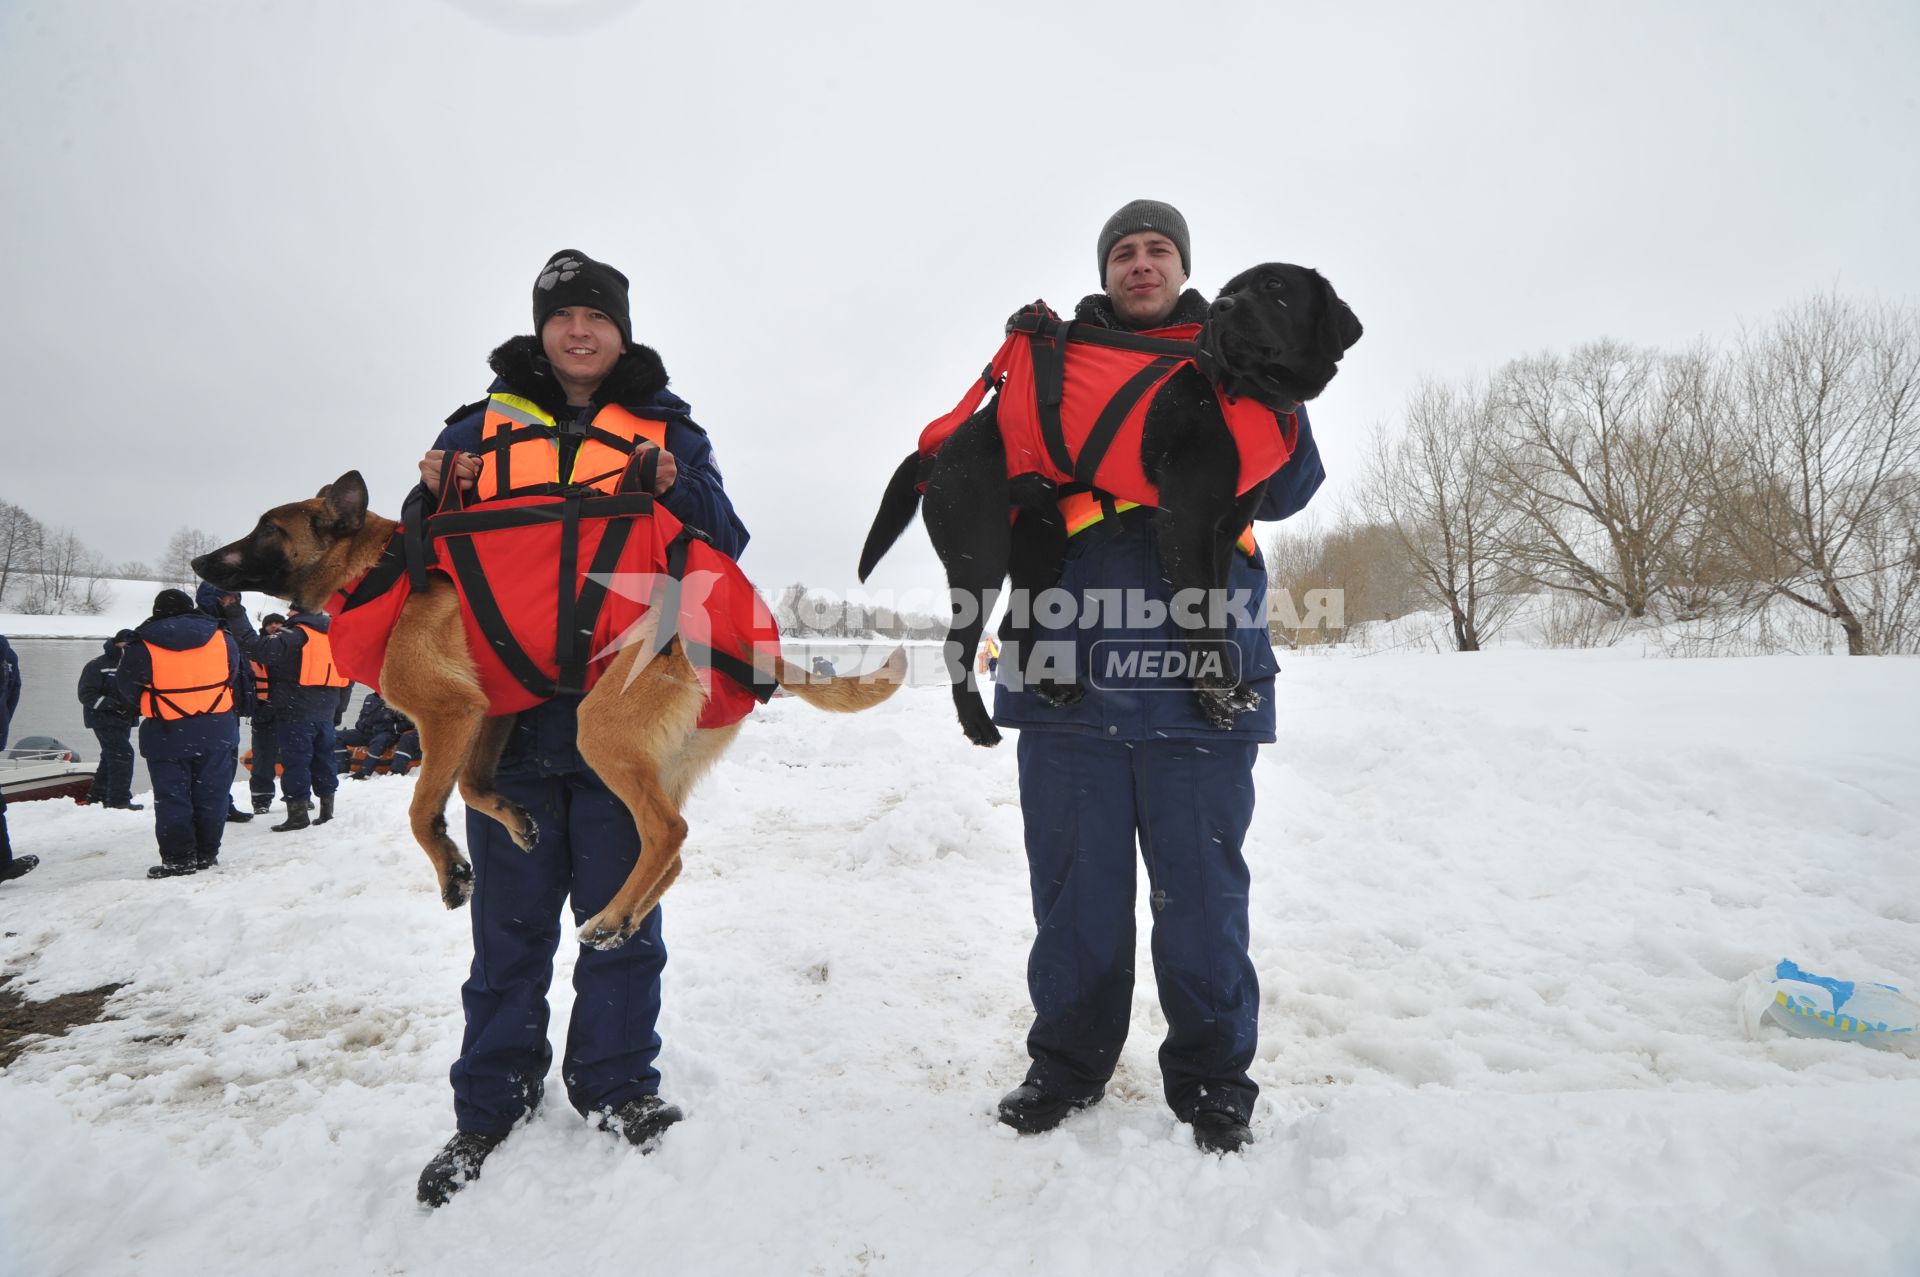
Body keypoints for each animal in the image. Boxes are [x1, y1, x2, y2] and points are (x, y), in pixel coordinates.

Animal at [198, 470, 902, 944]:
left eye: (269, 527)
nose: (200, 561)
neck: (381, 570)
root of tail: (757, 651)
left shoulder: (449, 713)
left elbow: (422, 811)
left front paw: (453, 873)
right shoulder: (492, 712)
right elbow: (475, 787)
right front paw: (515, 822)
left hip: (604, 730)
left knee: (667, 832)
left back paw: (613, 914)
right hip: (661, 756)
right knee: (672, 853)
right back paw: (622, 918)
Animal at [864, 266, 1359, 748]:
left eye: (1274, 285)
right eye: (1228, 290)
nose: (1220, 308)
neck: (1241, 394)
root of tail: (939, 451)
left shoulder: (1222, 533)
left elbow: (1209, 616)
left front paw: (1214, 701)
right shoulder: (1185, 524)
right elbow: (1200, 614)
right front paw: (1223, 688)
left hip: (1042, 544)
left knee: (1014, 630)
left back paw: (1053, 688)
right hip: (979, 553)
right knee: (960, 645)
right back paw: (978, 723)